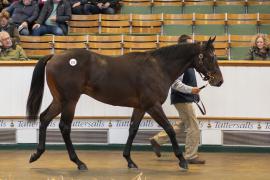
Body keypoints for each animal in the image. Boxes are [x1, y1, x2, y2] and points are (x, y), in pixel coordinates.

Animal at [25, 37, 224, 171]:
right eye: (211, 56)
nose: (219, 80)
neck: (158, 67)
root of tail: (54, 57)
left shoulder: (140, 107)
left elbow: (133, 130)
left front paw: (129, 160)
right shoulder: (153, 106)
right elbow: (169, 129)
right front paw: (182, 160)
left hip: (60, 100)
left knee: (44, 118)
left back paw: (36, 154)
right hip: (70, 101)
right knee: (64, 127)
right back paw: (79, 162)